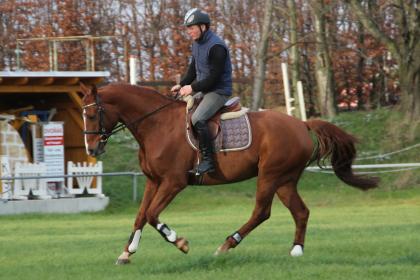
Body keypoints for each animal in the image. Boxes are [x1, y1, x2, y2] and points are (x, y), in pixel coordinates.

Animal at [79, 82, 378, 264]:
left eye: (92, 116)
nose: (92, 150)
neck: (157, 125)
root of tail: (301, 124)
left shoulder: (174, 183)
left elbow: (153, 215)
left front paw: (180, 242)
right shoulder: (154, 181)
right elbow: (141, 215)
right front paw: (126, 253)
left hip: (269, 176)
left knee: (262, 212)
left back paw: (226, 245)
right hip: (285, 180)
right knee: (300, 212)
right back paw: (296, 250)